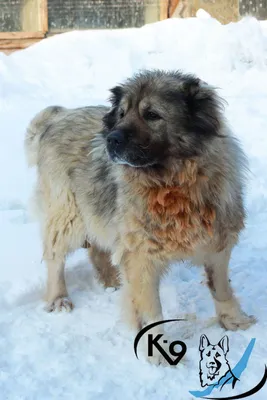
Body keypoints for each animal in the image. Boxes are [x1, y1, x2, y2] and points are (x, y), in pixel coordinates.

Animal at [25, 70, 258, 364]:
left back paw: (113, 282)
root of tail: (60, 115)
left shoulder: (217, 242)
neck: (174, 186)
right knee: (55, 257)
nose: (111, 139)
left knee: (97, 250)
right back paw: (59, 298)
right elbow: (150, 309)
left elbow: (221, 287)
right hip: (68, 214)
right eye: (122, 114)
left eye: (152, 115)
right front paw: (157, 352)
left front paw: (234, 320)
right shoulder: (141, 255)